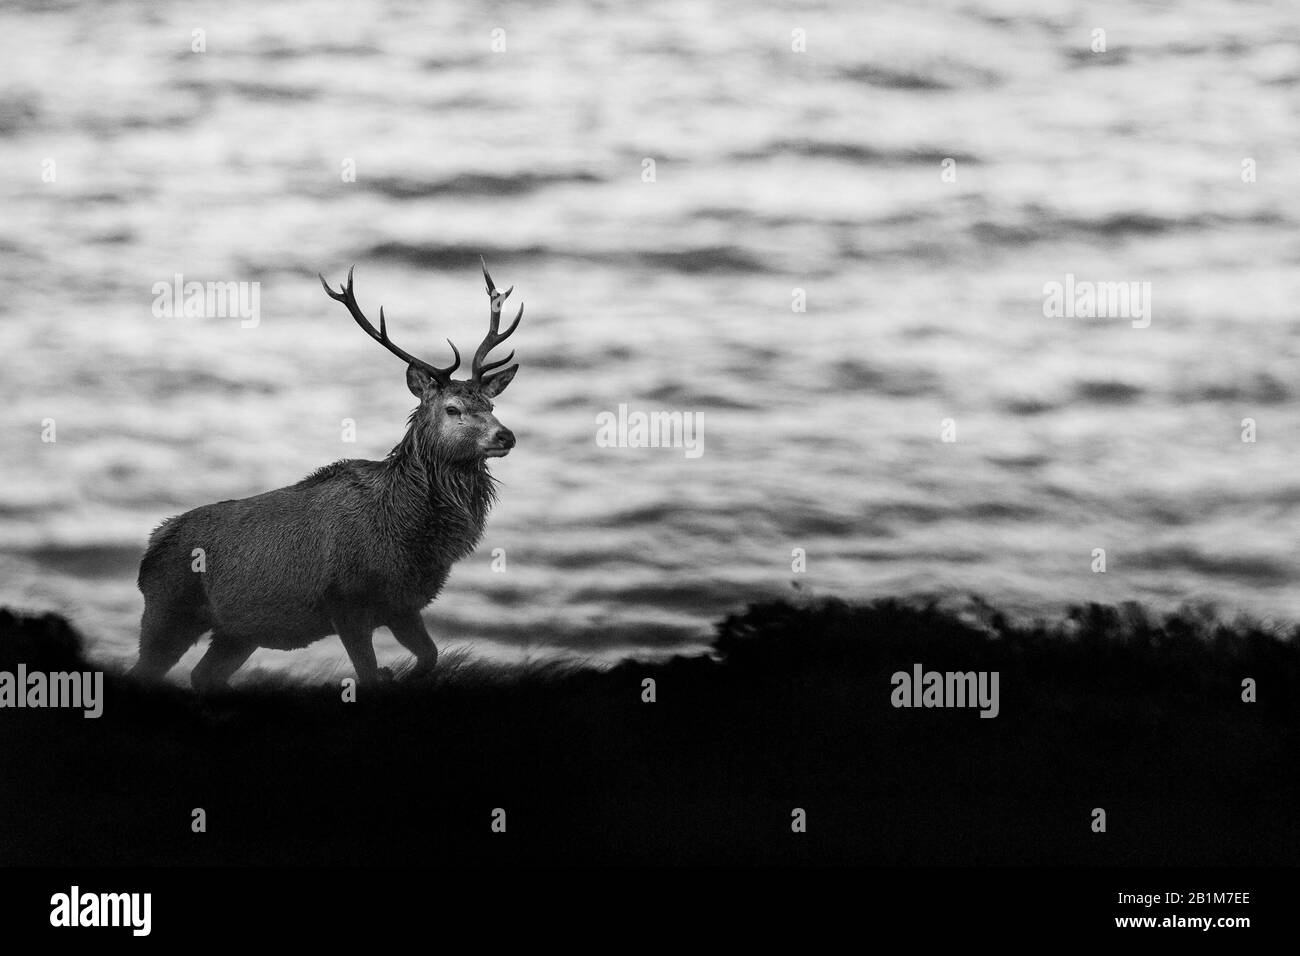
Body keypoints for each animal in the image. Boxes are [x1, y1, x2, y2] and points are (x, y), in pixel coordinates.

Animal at [131, 261, 523, 690]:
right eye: (453, 409)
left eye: (491, 404)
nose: (505, 435)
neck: (406, 532)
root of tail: (152, 546)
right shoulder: (346, 602)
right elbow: (368, 673)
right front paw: (383, 671)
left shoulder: (403, 607)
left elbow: (429, 657)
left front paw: (395, 672)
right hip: (168, 612)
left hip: (238, 632)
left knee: (204, 674)